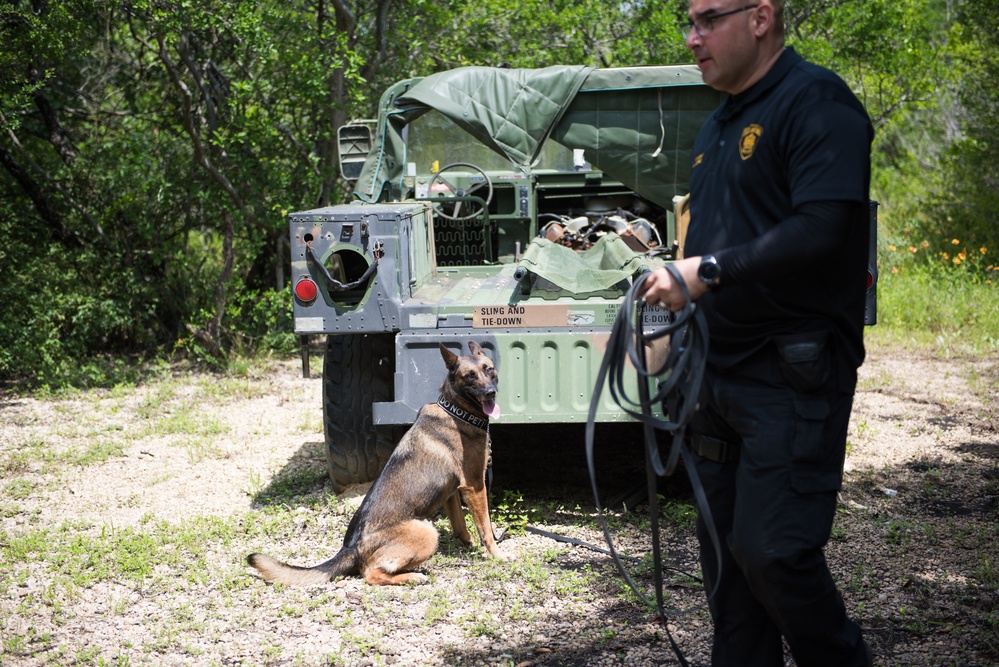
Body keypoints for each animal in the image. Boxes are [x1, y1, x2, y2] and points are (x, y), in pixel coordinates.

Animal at [246, 342, 504, 588]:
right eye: (469, 376)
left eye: (488, 369)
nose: (490, 393)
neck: (457, 410)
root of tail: (352, 547)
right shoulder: (474, 485)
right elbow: (486, 528)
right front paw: (498, 554)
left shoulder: (452, 492)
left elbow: (461, 525)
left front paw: (469, 543)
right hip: (427, 532)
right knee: (371, 574)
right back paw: (412, 576)